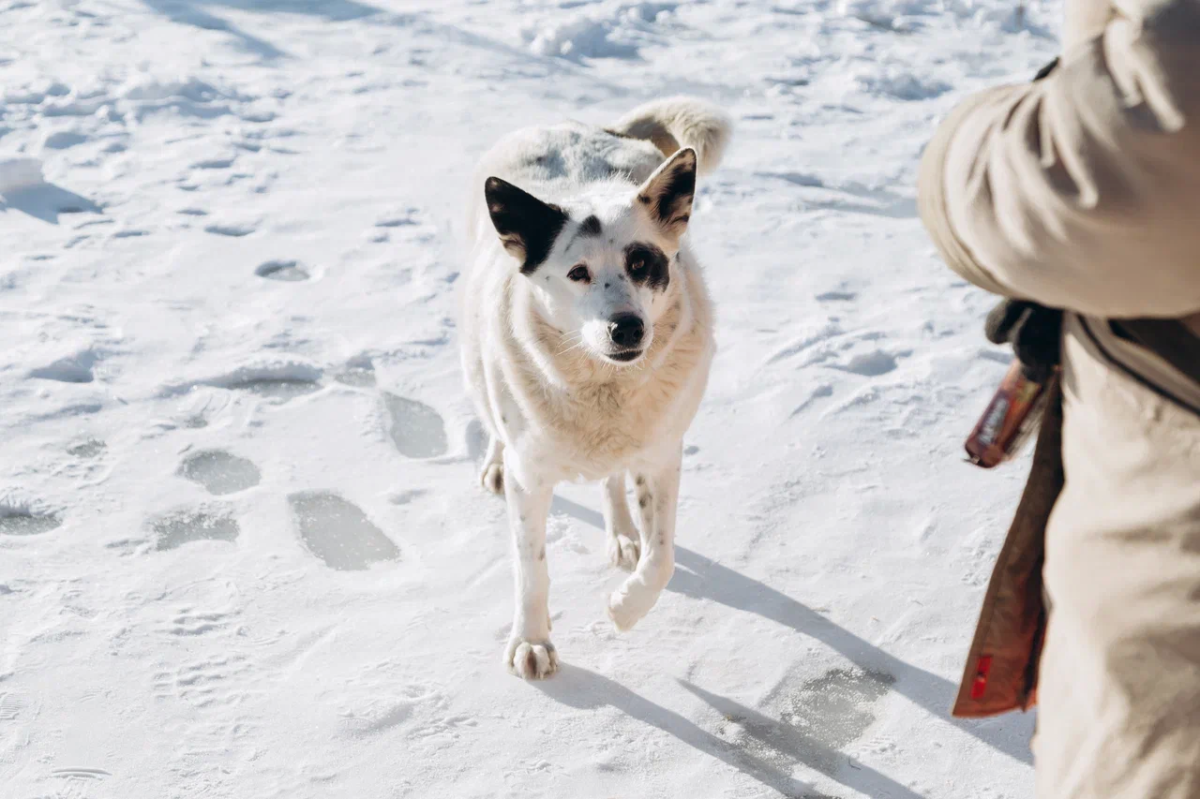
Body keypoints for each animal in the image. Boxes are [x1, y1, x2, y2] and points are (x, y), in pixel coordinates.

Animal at [458, 96, 729, 676]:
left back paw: (623, 532)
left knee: (613, 482)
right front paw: (532, 640)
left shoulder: (662, 454)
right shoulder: (531, 478)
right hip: (475, 351)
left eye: (641, 261)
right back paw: (494, 461)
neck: (603, 387)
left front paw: (625, 608)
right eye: (576, 272)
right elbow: (531, 568)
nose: (626, 328)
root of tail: (583, 126)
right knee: (490, 411)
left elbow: (662, 556)